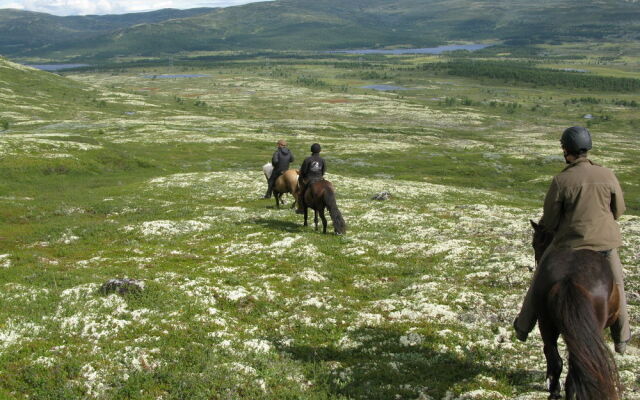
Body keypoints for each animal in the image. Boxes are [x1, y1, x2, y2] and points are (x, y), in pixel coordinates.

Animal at [528, 220, 620, 398]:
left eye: (534, 243)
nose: (537, 262)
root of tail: (569, 278)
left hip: (546, 323)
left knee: (558, 359)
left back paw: (556, 392)